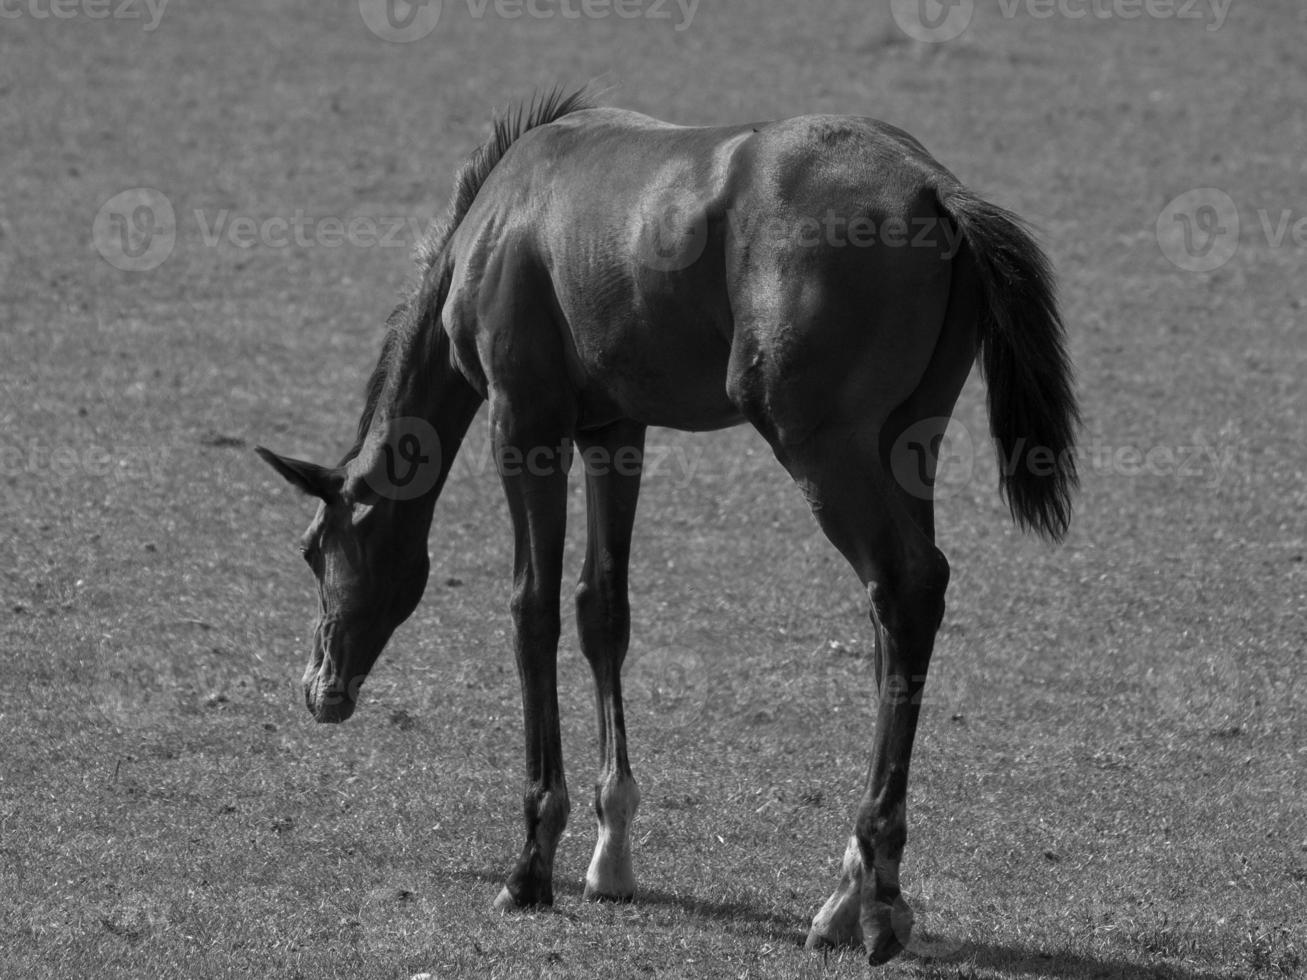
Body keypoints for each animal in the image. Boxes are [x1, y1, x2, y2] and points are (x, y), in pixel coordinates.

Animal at [257, 86, 1082, 966]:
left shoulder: (524, 426)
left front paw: (531, 861)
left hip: (824, 448)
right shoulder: (614, 431)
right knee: (895, 625)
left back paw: (878, 900)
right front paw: (610, 852)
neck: (505, 213)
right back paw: (844, 894)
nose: (320, 689)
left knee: (905, 587)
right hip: (907, 441)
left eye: (311, 550)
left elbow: (532, 610)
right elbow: (601, 609)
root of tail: (930, 185)